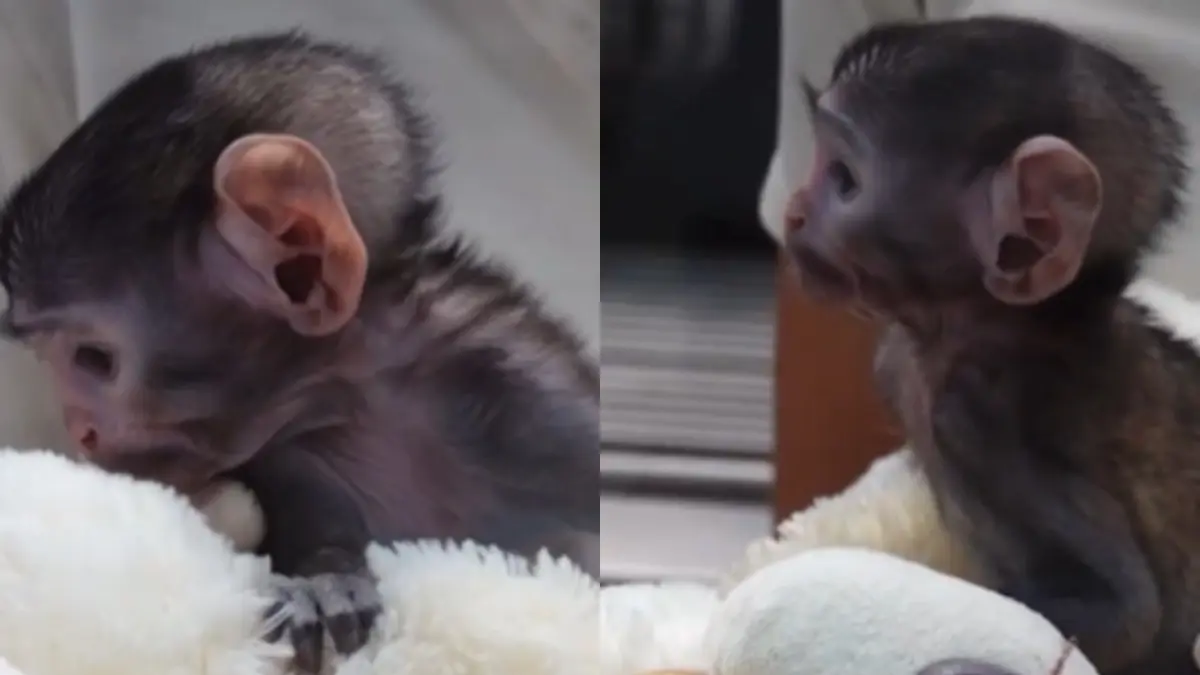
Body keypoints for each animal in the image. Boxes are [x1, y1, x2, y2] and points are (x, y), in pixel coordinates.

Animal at [0, 32, 599, 673]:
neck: (349, 394)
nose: (79, 430)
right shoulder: (287, 458)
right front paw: (324, 582)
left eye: (92, 360)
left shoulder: (529, 388)